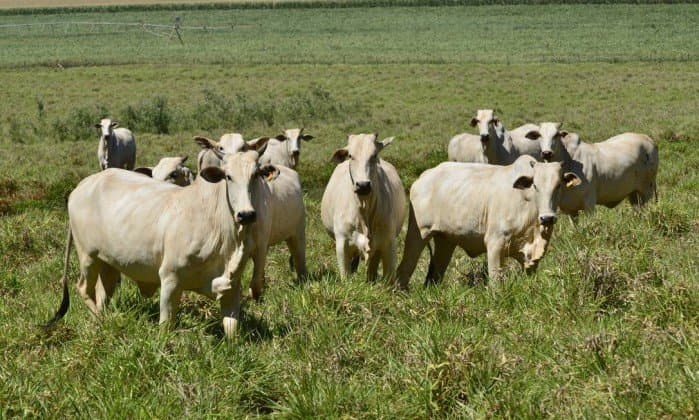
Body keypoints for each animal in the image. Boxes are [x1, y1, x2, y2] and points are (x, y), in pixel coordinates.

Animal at [44, 144, 279, 337]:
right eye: (228, 176)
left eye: (256, 175)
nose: (246, 214)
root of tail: (81, 186)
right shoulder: (170, 279)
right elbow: (166, 326)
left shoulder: (232, 289)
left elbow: (232, 331)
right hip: (88, 256)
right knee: (83, 288)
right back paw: (105, 322)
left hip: (107, 263)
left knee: (103, 294)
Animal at [395, 155, 582, 289]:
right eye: (535, 185)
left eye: (558, 185)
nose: (547, 218)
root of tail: (423, 177)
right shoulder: (495, 244)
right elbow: (495, 284)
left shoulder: (531, 259)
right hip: (418, 233)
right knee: (405, 268)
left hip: (445, 240)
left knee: (434, 275)